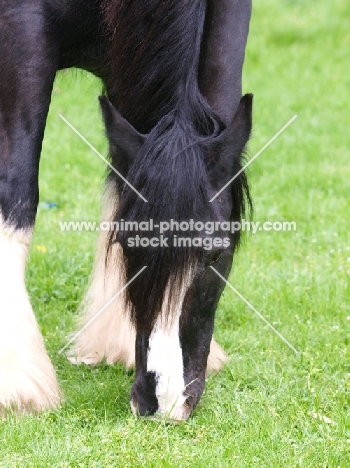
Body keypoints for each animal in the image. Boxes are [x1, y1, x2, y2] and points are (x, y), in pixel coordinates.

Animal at [0, 0, 252, 420]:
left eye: (217, 254)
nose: (160, 401)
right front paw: (16, 384)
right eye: (127, 244)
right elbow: (16, 193)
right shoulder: (21, 34)